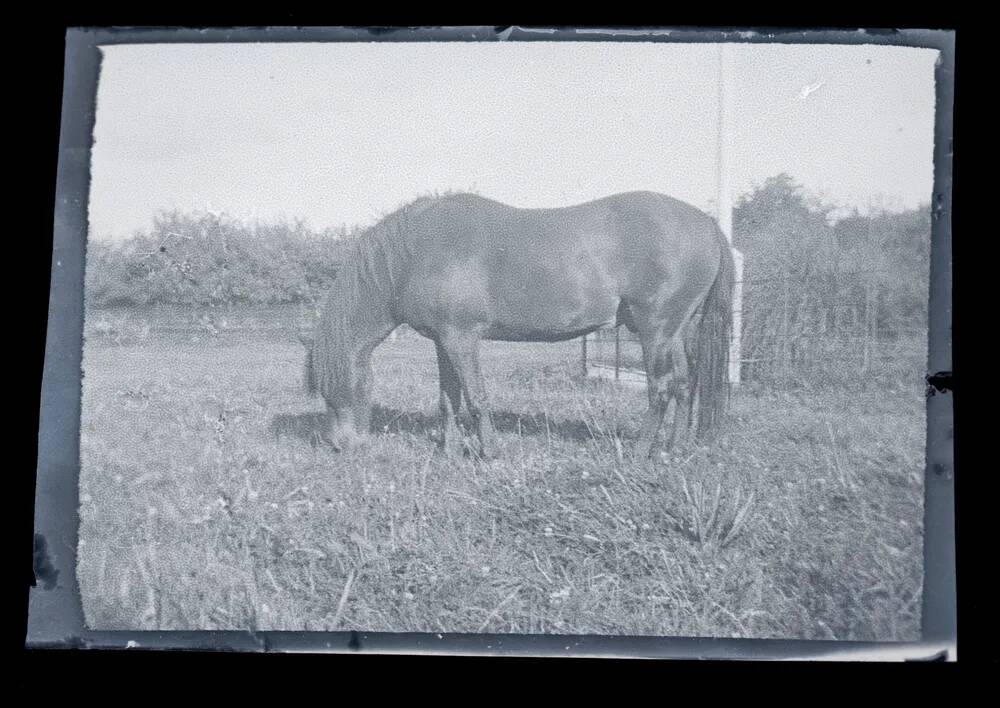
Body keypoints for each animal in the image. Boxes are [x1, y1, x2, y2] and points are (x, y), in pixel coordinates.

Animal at [300, 191, 732, 460]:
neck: (416, 252)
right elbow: (448, 400)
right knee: (683, 385)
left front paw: (489, 452)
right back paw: (671, 448)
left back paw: (640, 452)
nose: (340, 445)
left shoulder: (461, 339)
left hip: (654, 329)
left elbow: (475, 397)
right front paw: (448, 452)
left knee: (660, 389)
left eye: (334, 385)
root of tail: (708, 222)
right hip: (673, 331)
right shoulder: (443, 342)